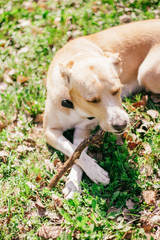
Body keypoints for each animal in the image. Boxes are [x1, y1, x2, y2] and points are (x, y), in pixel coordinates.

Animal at [43, 19, 160, 199]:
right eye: (92, 100)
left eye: (117, 90)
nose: (121, 125)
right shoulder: (50, 131)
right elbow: (73, 150)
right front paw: (79, 180)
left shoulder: (83, 130)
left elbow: (77, 151)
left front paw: (79, 178)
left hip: (148, 73)